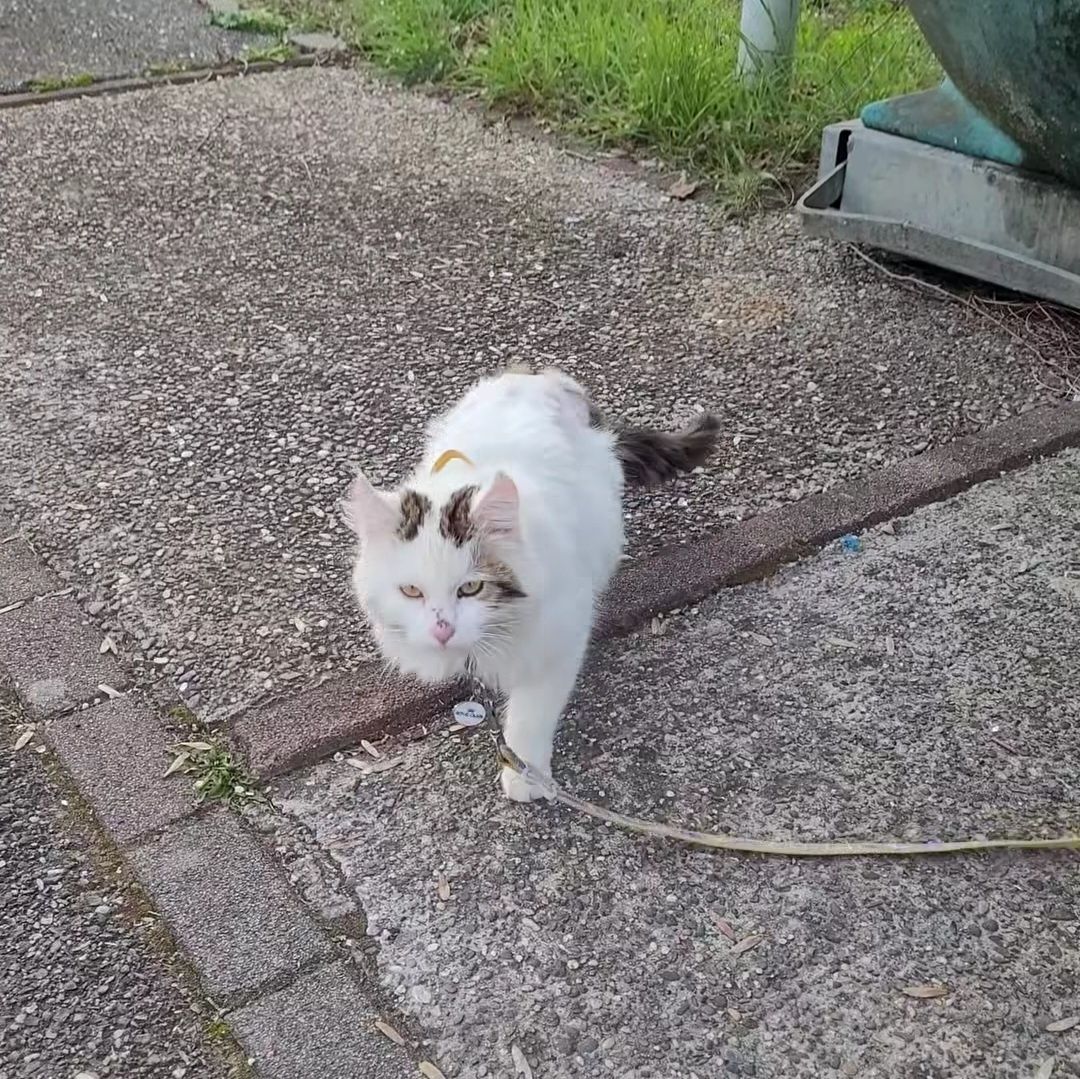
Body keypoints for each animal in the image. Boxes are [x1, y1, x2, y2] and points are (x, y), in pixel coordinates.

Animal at [343, 367, 718, 801]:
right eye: (411, 591)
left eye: (470, 589)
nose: (442, 630)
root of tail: (539, 377)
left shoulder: (559, 633)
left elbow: (531, 711)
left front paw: (526, 775)